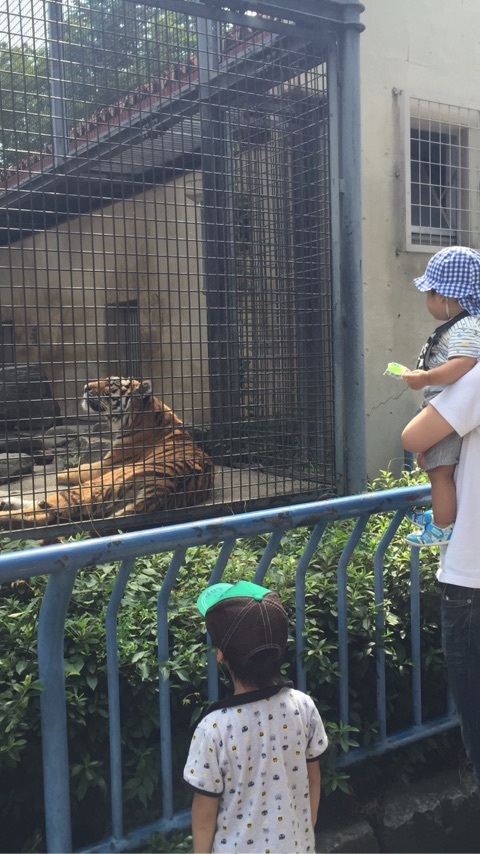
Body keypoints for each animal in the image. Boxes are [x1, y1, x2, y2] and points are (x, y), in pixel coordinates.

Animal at [0, 380, 214, 532]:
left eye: (112, 385)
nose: (85, 387)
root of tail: (163, 488)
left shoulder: (109, 463)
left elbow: (78, 469)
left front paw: (60, 474)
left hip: (99, 485)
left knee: (46, 512)